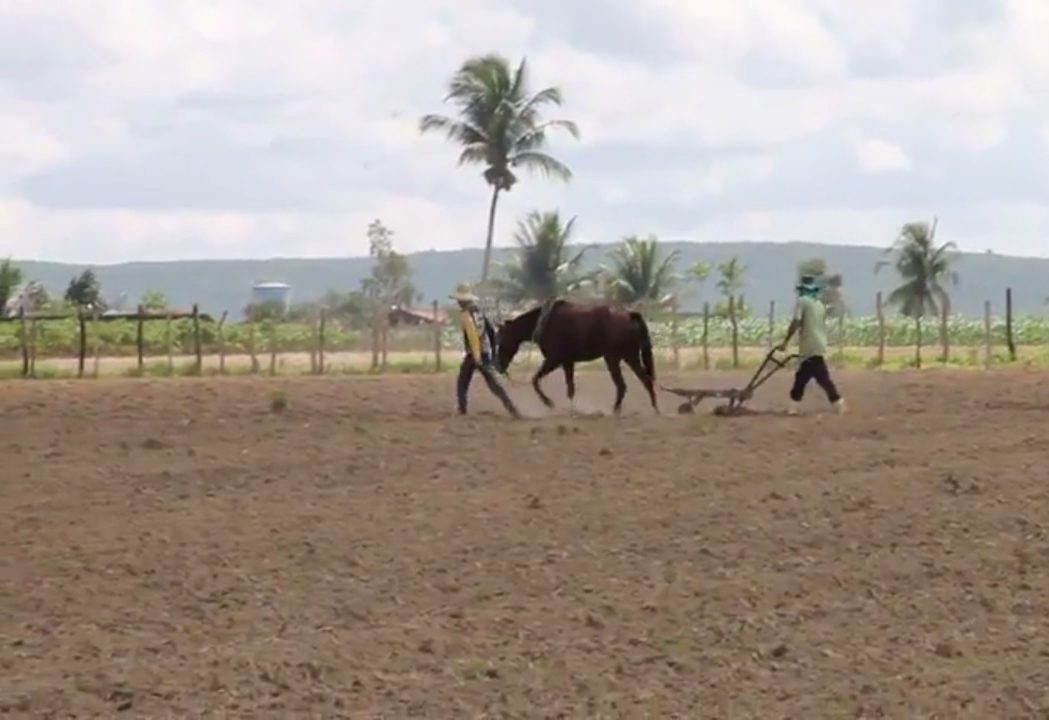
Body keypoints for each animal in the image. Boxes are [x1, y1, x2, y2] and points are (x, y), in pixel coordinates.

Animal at [494, 300, 659, 415]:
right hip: (630, 357)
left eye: (500, 340)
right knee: (645, 381)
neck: (544, 323)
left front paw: (549, 403)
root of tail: (630, 315)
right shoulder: (567, 362)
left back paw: (617, 411)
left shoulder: (554, 360)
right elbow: (570, 389)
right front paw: (572, 410)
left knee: (623, 386)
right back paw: (654, 409)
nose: (499, 367)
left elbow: (535, 380)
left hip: (614, 359)